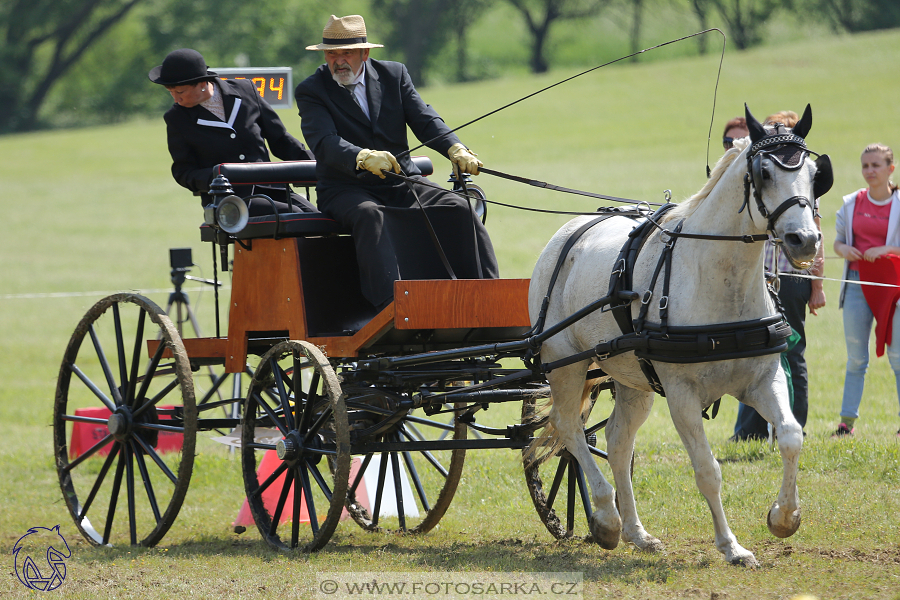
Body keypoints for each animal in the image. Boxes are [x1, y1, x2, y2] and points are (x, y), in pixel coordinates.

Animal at [528, 105, 828, 564]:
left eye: (815, 174)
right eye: (763, 173)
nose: (804, 240)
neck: (721, 282)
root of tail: (566, 234)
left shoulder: (762, 379)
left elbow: (792, 437)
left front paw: (784, 517)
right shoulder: (682, 394)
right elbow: (707, 470)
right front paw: (731, 546)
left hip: (630, 378)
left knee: (616, 441)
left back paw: (635, 531)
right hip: (564, 363)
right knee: (569, 429)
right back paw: (606, 517)